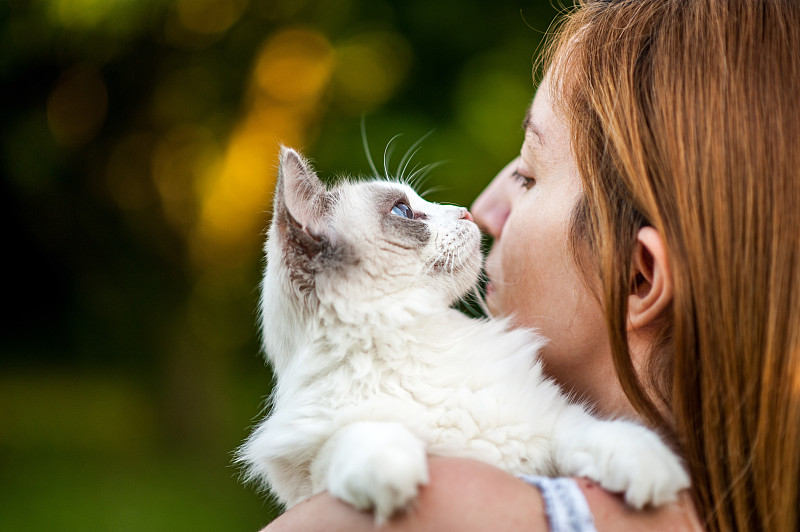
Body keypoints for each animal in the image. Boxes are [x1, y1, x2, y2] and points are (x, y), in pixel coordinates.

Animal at [236, 147, 688, 524]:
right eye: (403, 210)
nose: (467, 213)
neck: (419, 341)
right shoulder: (310, 472)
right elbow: (361, 436)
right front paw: (394, 475)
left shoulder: (548, 425)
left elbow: (597, 432)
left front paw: (651, 468)